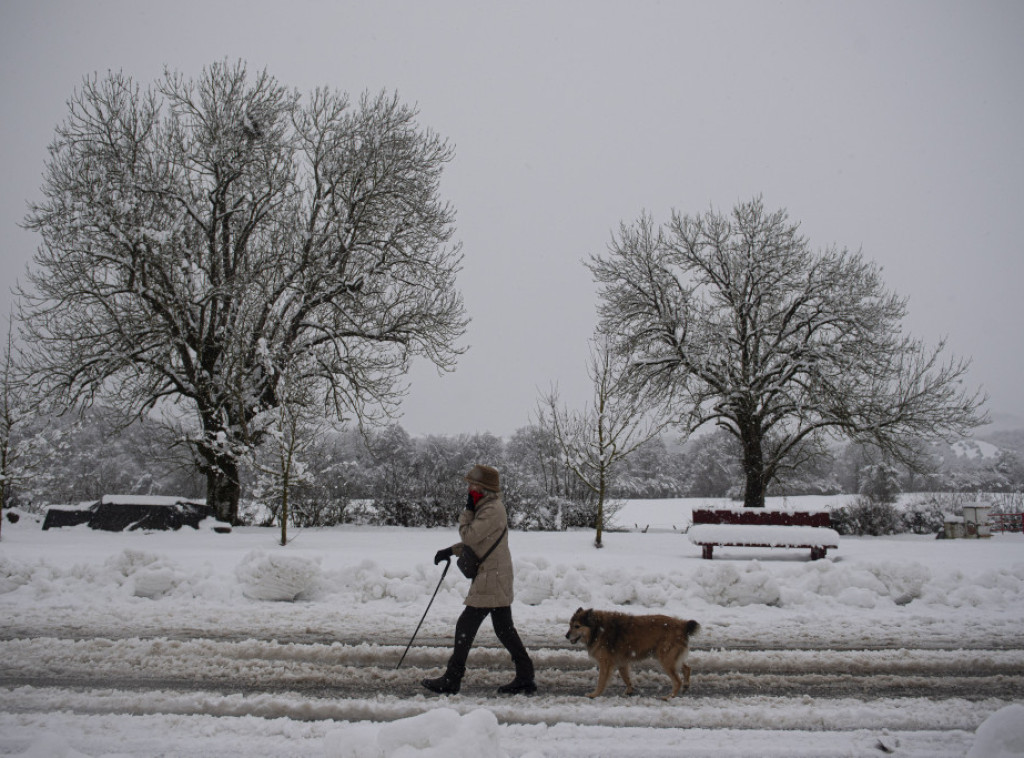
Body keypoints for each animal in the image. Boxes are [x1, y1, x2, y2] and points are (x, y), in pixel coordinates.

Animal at [565, 610, 700, 700]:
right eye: (570, 625)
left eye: (577, 626)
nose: (566, 636)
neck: (597, 629)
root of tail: (683, 625)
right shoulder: (621, 662)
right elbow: (626, 677)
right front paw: (629, 690)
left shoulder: (605, 663)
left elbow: (601, 681)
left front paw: (594, 694)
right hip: (671, 658)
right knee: (687, 668)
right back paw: (686, 685)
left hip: (666, 660)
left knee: (677, 681)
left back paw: (669, 696)